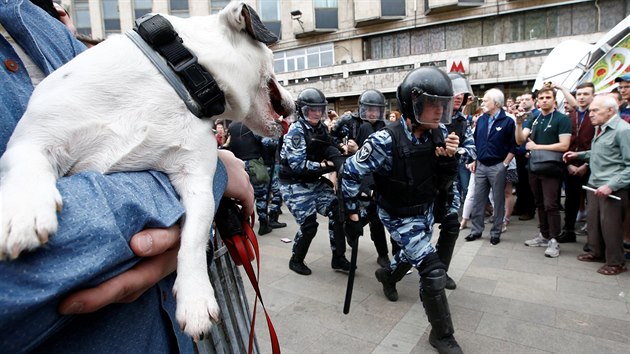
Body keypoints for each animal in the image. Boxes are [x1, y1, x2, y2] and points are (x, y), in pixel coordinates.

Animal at [0, 0, 296, 338]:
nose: (294, 100)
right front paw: (24, 209)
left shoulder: (196, 179)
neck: (182, 71)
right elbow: (28, 165)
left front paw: (195, 298)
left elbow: (193, 238)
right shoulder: (33, 139)